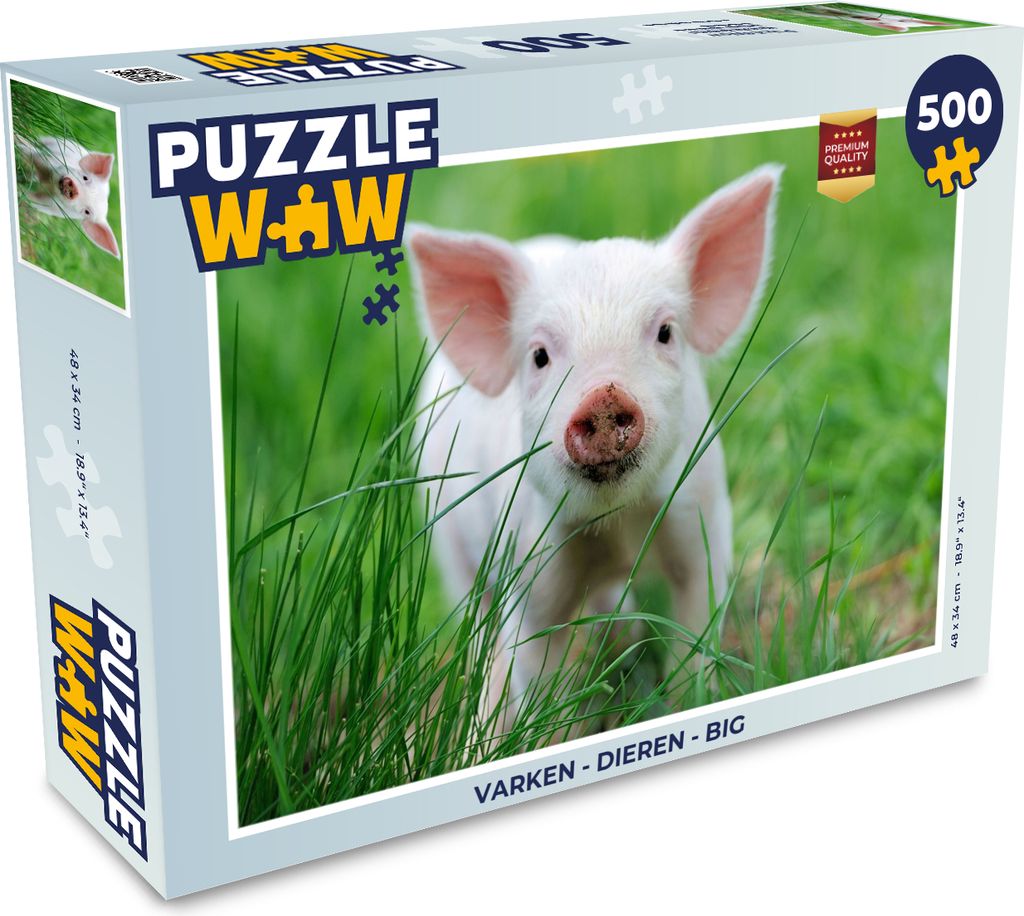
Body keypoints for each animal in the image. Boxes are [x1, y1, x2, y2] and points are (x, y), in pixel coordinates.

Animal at [408, 165, 781, 720]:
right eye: (539, 356)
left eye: (665, 332)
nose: (603, 397)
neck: (617, 525)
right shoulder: (528, 562)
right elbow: (536, 666)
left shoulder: (704, 524)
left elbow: (695, 629)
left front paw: (689, 701)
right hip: (449, 539)